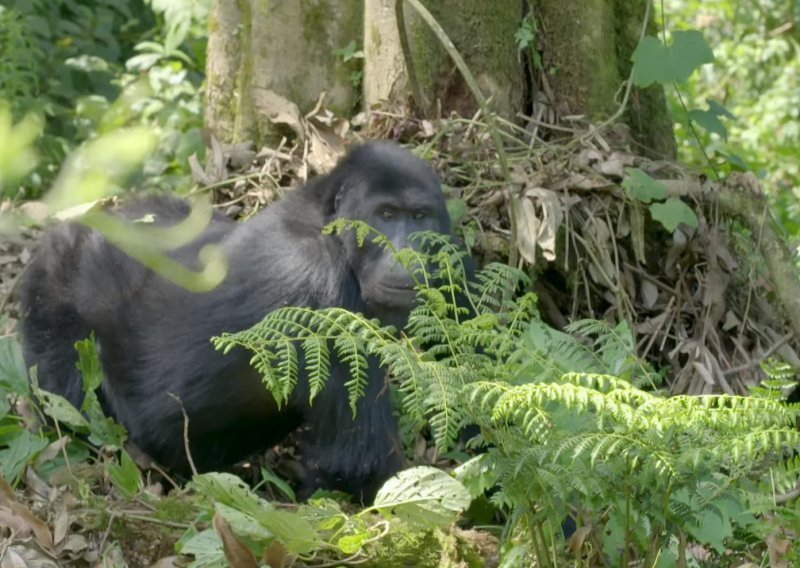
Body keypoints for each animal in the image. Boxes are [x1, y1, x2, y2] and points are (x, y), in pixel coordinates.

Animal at [18, 142, 454, 502]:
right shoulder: (321, 289)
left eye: (419, 217)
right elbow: (357, 464)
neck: (326, 224)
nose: (409, 253)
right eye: (386, 215)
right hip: (56, 284)